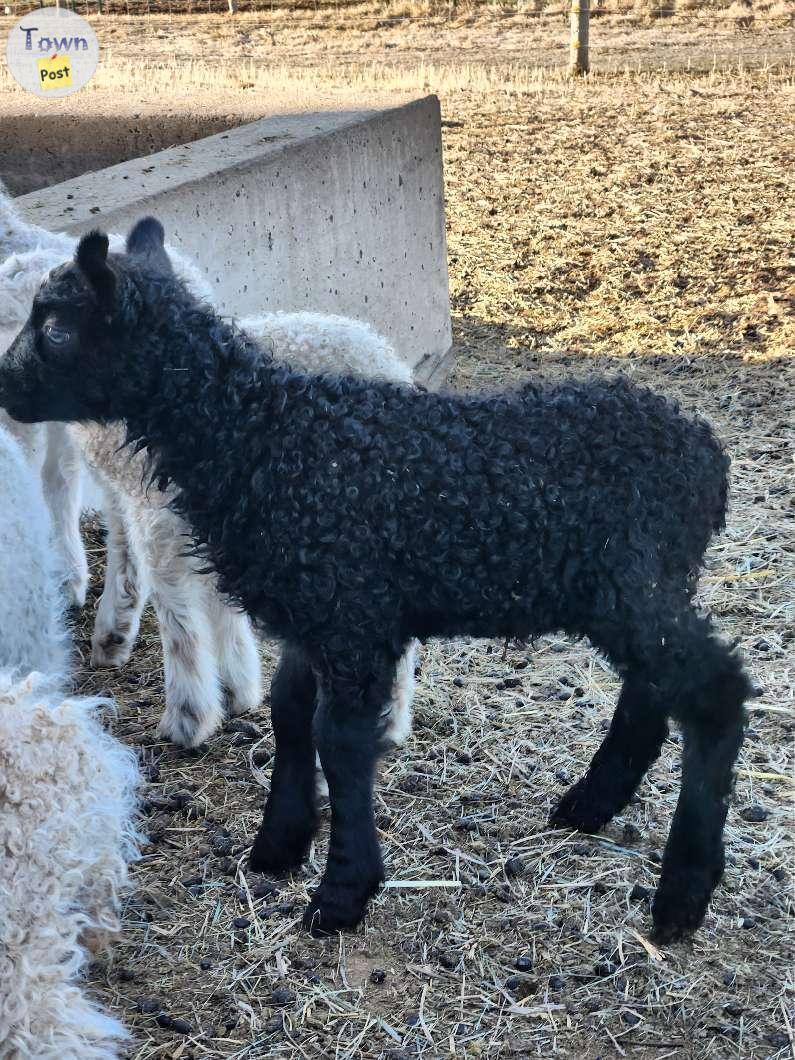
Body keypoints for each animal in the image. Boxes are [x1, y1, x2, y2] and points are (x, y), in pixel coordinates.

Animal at [0, 219, 750, 941]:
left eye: (56, 327)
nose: (1, 379)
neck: (262, 434)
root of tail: (705, 456)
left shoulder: (353, 612)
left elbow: (339, 740)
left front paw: (341, 893)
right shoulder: (316, 611)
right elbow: (290, 713)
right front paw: (279, 846)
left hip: (629, 582)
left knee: (712, 691)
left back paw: (682, 894)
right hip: (637, 589)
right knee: (653, 688)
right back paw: (590, 805)